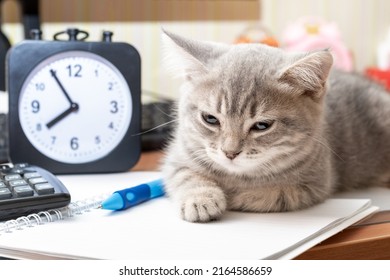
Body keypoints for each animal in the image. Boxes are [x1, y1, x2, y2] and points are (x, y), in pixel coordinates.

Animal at [161, 30, 390, 223]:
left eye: (262, 125)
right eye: (210, 119)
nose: (230, 152)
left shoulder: (313, 185)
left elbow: (271, 194)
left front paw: (234, 195)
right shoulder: (178, 156)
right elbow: (184, 175)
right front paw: (200, 199)